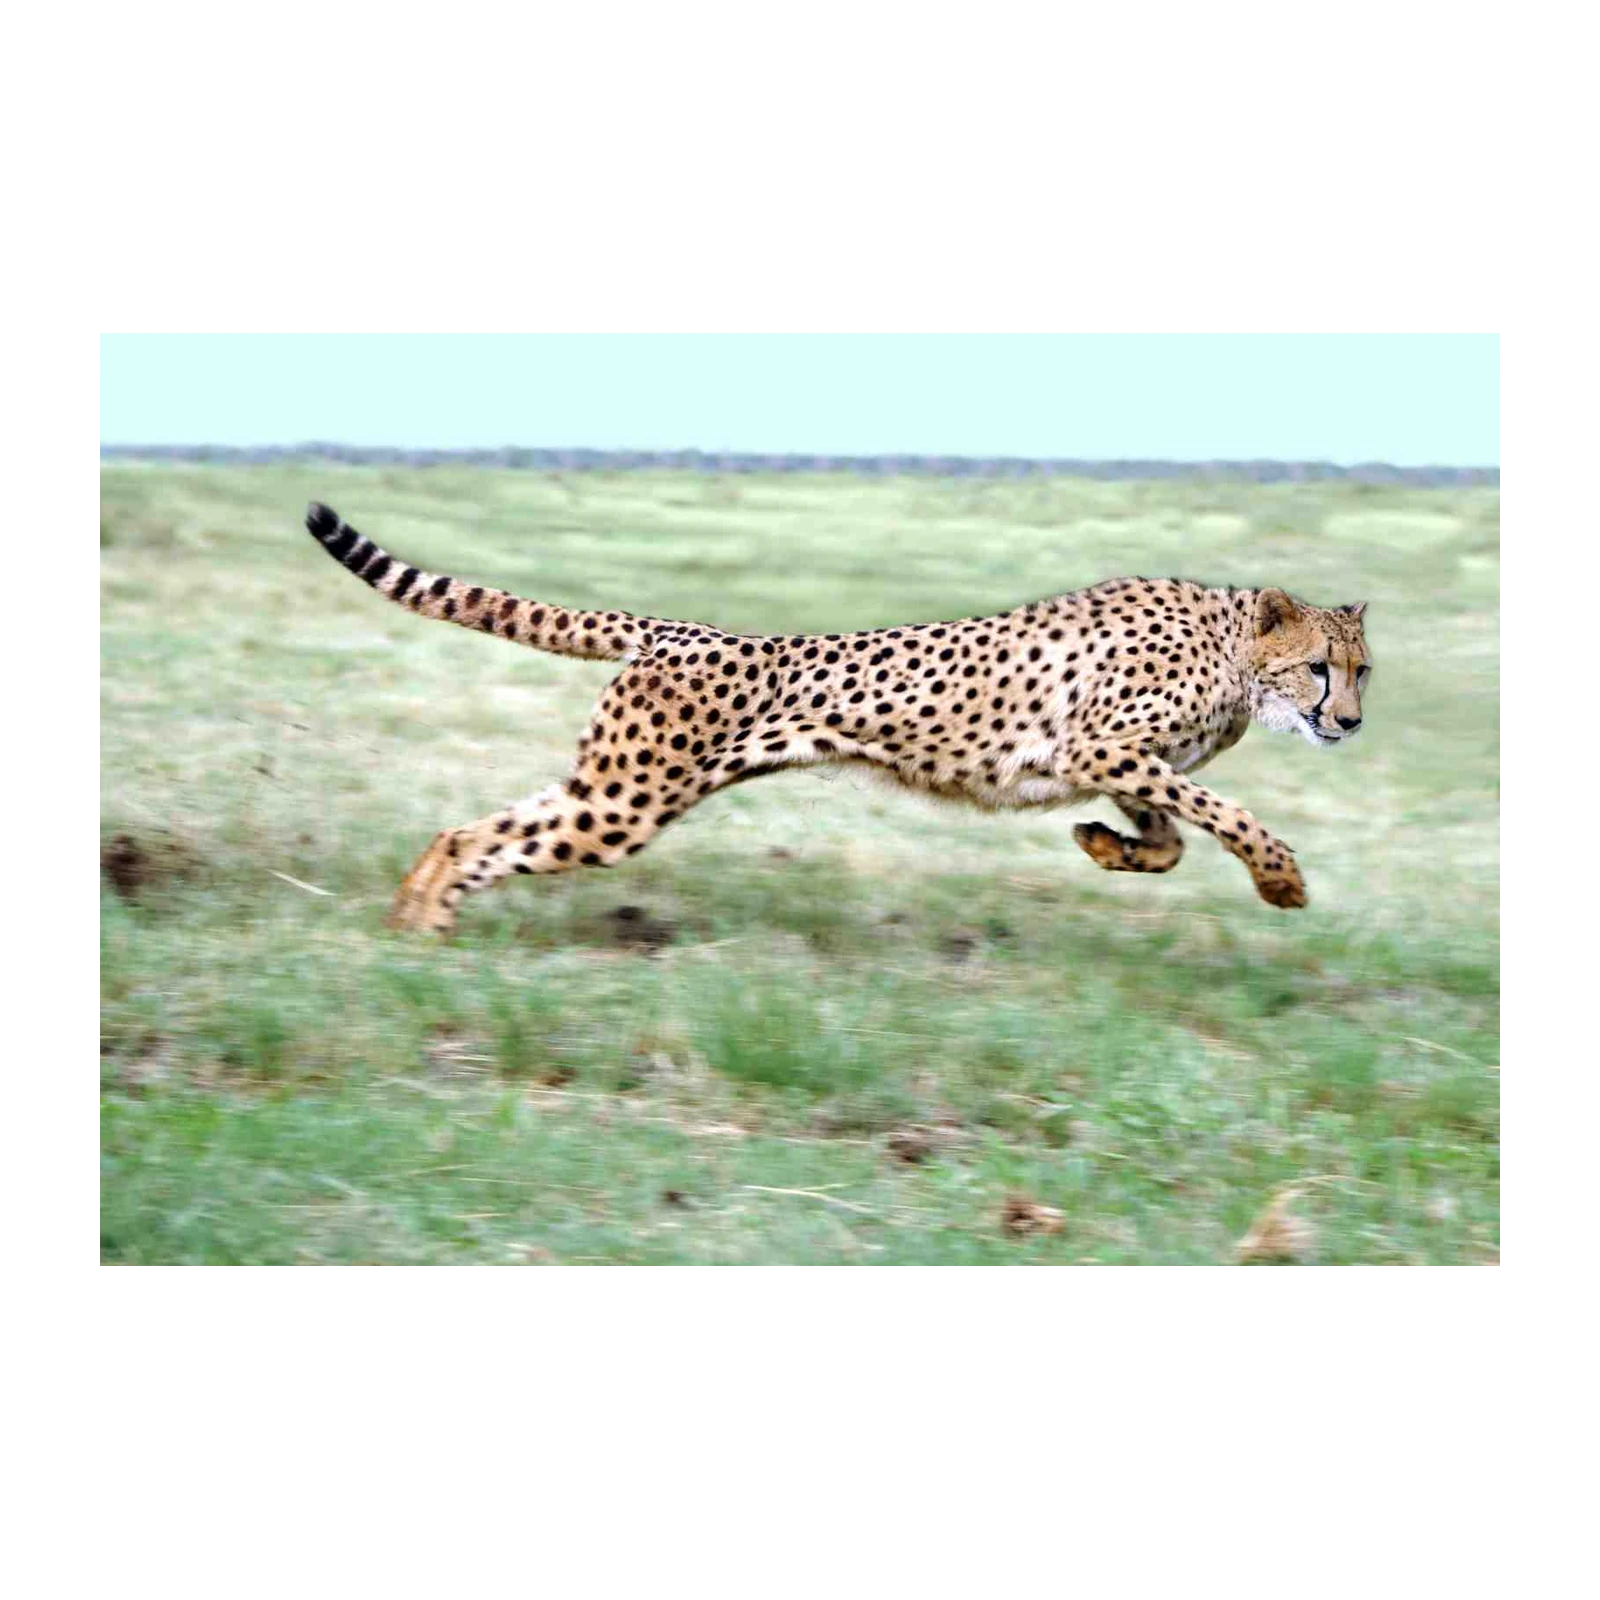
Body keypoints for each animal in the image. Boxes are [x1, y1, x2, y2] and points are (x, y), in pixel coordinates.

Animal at [302, 502, 1371, 935]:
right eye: (1321, 670)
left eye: (1364, 673)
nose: (1352, 724)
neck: (1236, 651)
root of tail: (679, 628)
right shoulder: (1102, 744)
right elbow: (1223, 816)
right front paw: (1282, 879)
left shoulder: (1115, 762)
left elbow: (1171, 834)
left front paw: (1106, 849)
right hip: (625, 802)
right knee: (483, 835)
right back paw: (422, 925)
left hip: (611, 787)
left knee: (470, 829)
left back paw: (413, 923)